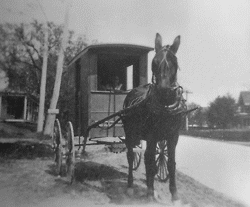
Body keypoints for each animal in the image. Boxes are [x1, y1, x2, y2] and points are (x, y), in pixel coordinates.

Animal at [122, 33, 187, 201]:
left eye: (174, 63)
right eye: (154, 62)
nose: (164, 90)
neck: (166, 106)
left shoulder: (172, 136)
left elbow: (170, 163)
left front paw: (174, 195)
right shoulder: (151, 136)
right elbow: (151, 160)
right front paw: (150, 192)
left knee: (145, 157)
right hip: (129, 132)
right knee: (131, 155)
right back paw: (130, 186)